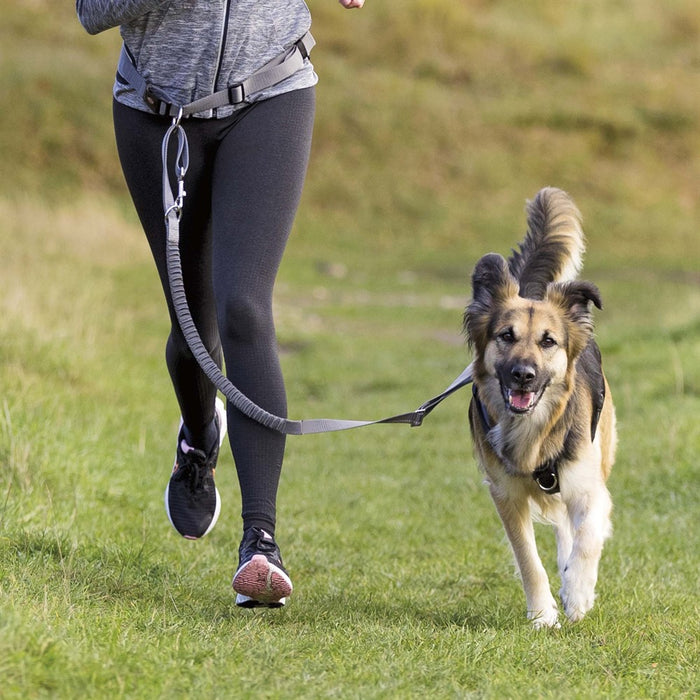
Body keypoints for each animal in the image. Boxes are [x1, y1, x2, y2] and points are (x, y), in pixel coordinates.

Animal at [464, 187, 616, 628]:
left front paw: (578, 593)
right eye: (505, 336)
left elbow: (587, 539)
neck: (533, 428)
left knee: (573, 527)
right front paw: (543, 614)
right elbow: (528, 559)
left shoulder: (590, 487)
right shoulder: (506, 495)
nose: (523, 376)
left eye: (548, 341)